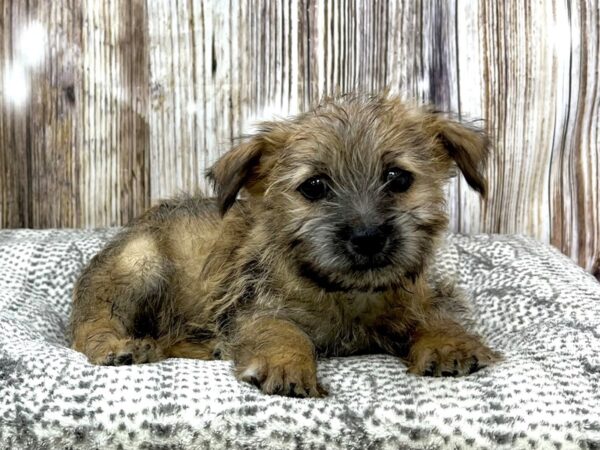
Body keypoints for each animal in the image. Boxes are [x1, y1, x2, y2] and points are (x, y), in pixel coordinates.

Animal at [71, 94, 502, 398]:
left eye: (398, 179)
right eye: (314, 186)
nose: (368, 237)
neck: (347, 296)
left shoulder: (417, 296)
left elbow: (434, 316)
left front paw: (450, 344)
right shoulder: (256, 306)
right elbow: (281, 330)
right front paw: (287, 366)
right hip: (138, 265)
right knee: (89, 325)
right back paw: (117, 347)